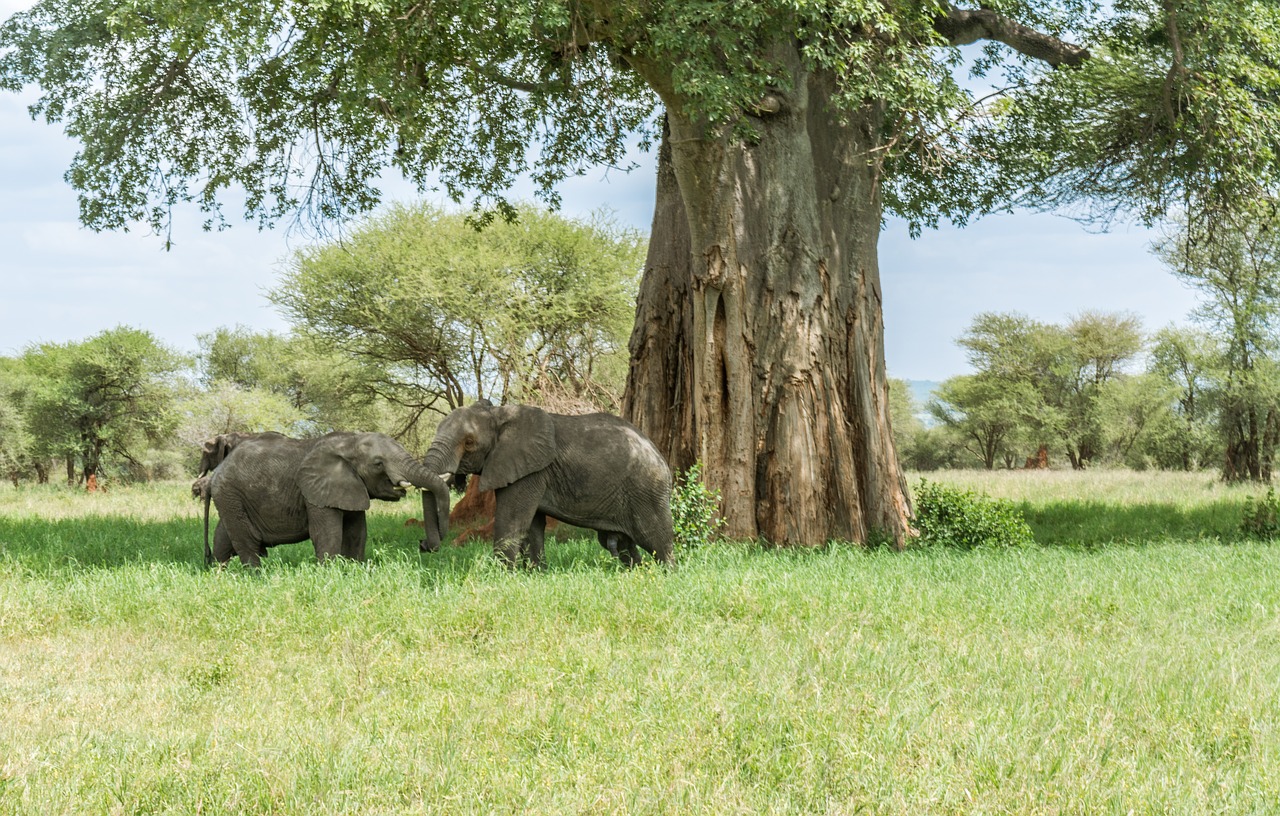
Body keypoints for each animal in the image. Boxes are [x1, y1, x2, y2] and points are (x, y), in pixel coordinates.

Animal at [202, 434, 453, 567]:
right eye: (378, 463)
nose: (423, 544)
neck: (349, 441)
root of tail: (216, 473)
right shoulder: (315, 492)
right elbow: (327, 533)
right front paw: (329, 572)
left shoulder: (351, 487)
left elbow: (356, 532)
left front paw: (353, 569)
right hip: (230, 494)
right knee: (246, 542)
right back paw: (257, 575)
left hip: (231, 497)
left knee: (224, 536)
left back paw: (219, 573)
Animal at [422, 401, 680, 567]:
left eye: (468, 442)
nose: (423, 545)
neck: (499, 414)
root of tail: (661, 459)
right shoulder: (528, 470)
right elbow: (533, 525)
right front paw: (535, 573)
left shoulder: (530, 471)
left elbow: (512, 520)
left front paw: (500, 576)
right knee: (622, 544)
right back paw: (636, 573)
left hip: (647, 491)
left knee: (656, 539)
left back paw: (666, 575)